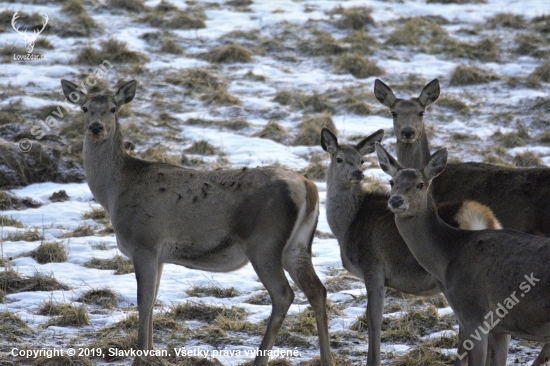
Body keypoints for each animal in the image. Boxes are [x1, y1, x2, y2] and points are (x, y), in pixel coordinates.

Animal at [62, 80, 334, 366]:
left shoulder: (144, 243)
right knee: (317, 290)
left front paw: (140, 358)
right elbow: (153, 300)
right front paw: (151, 352)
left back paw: (260, 359)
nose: (96, 127)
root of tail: (308, 187)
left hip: (264, 242)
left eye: (113, 108)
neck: (114, 192)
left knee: (283, 294)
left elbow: (143, 302)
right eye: (84, 108)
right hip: (297, 245)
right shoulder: (158, 254)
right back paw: (327, 359)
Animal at [322, 128, 506, 366]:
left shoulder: (372, 265)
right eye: (339, 158)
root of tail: (484, 219)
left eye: (361, 160)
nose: (357, 174)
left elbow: (374, 318)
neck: (347, 226)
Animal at [378, 143, 550, 366]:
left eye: (420, 184)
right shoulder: (501, 327)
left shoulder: (474, 314)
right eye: (392, 181)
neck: (449, 258)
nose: (396, 200)